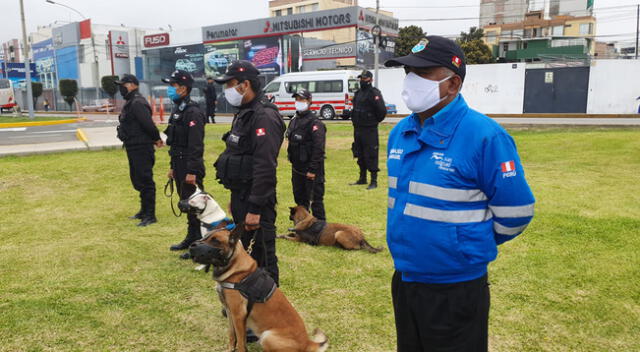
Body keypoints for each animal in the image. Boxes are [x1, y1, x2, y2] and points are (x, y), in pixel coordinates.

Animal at [188, 226, 328, 352]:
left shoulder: (238, 316)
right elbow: (232, 335)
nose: (191, 246)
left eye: (215, 241)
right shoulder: (229, 312)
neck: (234, 268)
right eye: (205, 236)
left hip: (267, 336)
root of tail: (307, 343)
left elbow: (241, 343)